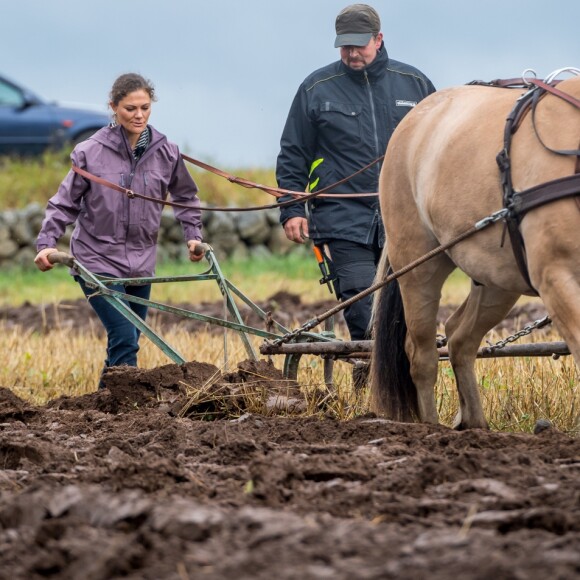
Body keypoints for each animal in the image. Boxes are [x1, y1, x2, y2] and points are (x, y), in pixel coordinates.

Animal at [372, 70, 580, 428]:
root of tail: (415, 116)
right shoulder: (556, 277)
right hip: (417, 264)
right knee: (421, 354)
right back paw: (431, 427)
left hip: (497, 279)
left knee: (459, 339)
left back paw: (476, 426)